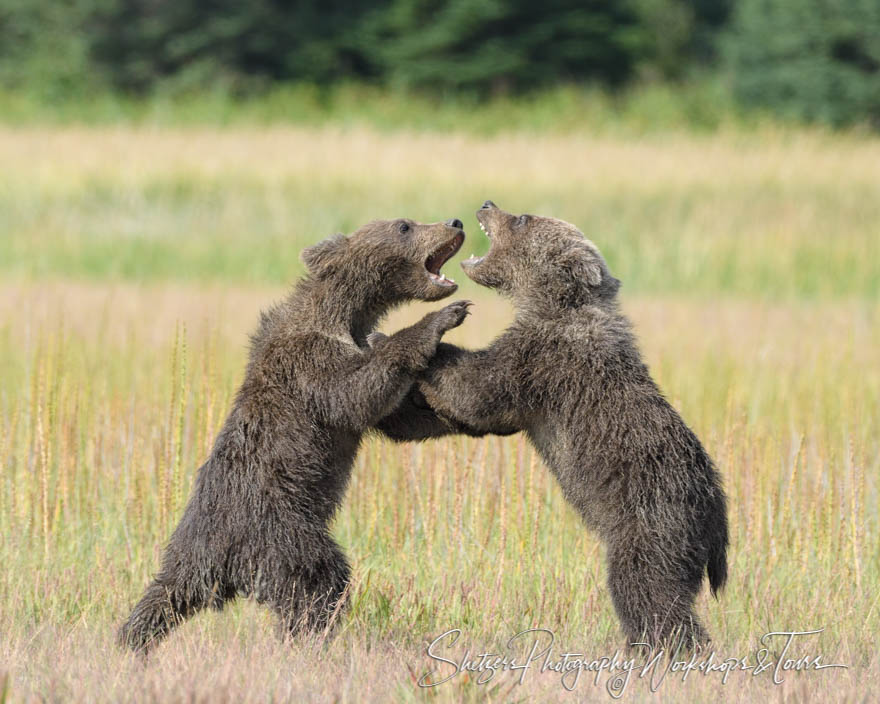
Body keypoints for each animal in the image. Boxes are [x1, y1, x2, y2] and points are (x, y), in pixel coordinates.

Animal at [121, 216, 474, 656]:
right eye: (404, 225)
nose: (455, 222)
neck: (345, 314)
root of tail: (214, 559)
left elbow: (396, 417)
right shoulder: (308, 361)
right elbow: (355, 391)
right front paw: (444, 317)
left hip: (196, 553)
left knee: (161, 598)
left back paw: (130, 642)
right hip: (280, 530)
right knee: (318, 581)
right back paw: (311, 641)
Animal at [416, 201, 724, 648]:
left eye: (522, 218)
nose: (488, 204)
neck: (554, 304)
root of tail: (718, 519)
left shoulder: (543, 361)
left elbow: (477, 390)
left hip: (653, 522)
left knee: (647, 593)